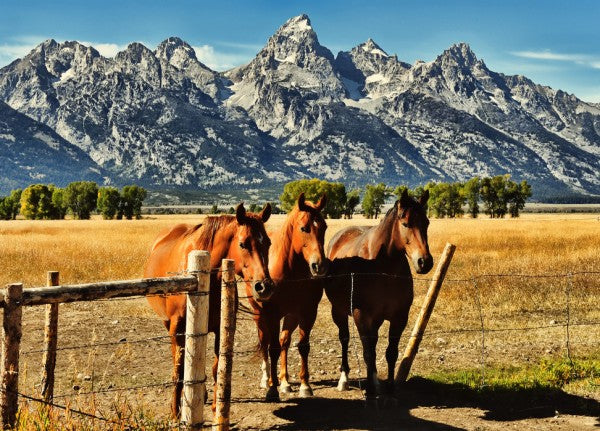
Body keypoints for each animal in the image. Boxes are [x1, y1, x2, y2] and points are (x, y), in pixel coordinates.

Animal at [144, 204, 276, 416]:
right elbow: (179, 369)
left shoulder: (220, 329)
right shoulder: (177, 328)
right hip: (169, 324)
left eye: (269, 243)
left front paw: (216, 407)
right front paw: (175, 411)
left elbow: (216, 367)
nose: (264, 286)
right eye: (243, 244)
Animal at [247, 194, 330, 404]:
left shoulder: (308, 312)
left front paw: (305, 385)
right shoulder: (272, 314)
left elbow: (303, 347)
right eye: (304, 228)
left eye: (324, 227)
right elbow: (273, 349)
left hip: (291, 316)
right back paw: (266, 379)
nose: (319, 266)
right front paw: (272, 389)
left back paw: (284, 381)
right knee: (265, 343)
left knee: (284, 340)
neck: (292, 271)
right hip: (259, 316)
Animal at [326, 192, 434, 402]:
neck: (382, 268)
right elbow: (368, 353)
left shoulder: (399, 318)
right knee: (345, 339)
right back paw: (344, 380)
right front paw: (369, 391)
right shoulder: (361, 316)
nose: (424, 262)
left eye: (427, 222)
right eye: (406, 223)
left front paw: (390, 390)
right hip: (339, 312)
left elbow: (391, 353)